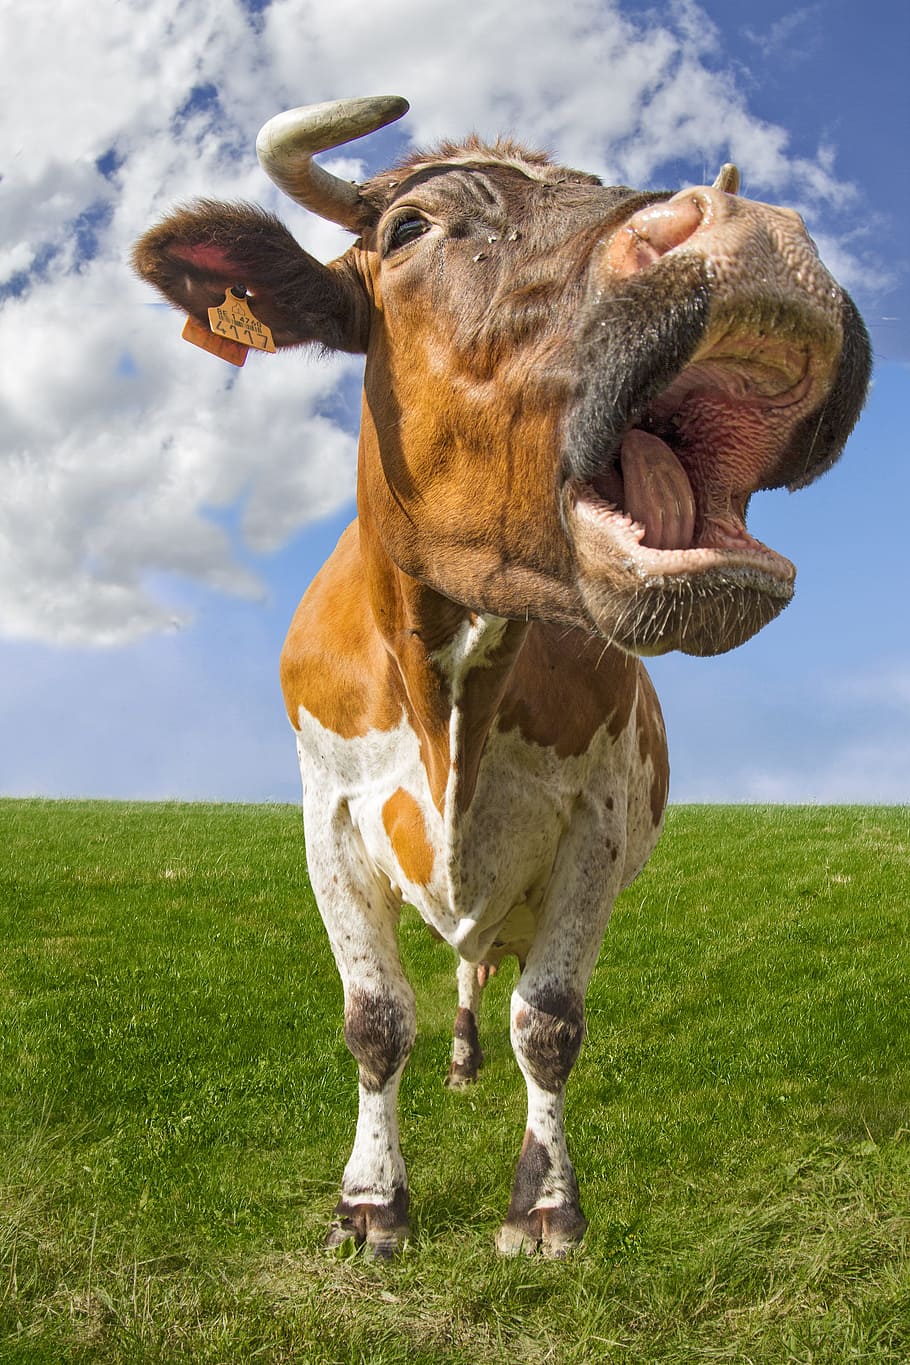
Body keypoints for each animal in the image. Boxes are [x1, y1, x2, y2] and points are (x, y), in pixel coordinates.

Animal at [133, 95, 871, 1258]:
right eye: (408, 229)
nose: (754, 233)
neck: (451, 705)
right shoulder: (328, 816)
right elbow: (375, 1020)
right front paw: (371, 1201)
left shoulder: (592, 822)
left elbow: (550, 1026)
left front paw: (547, 1205)